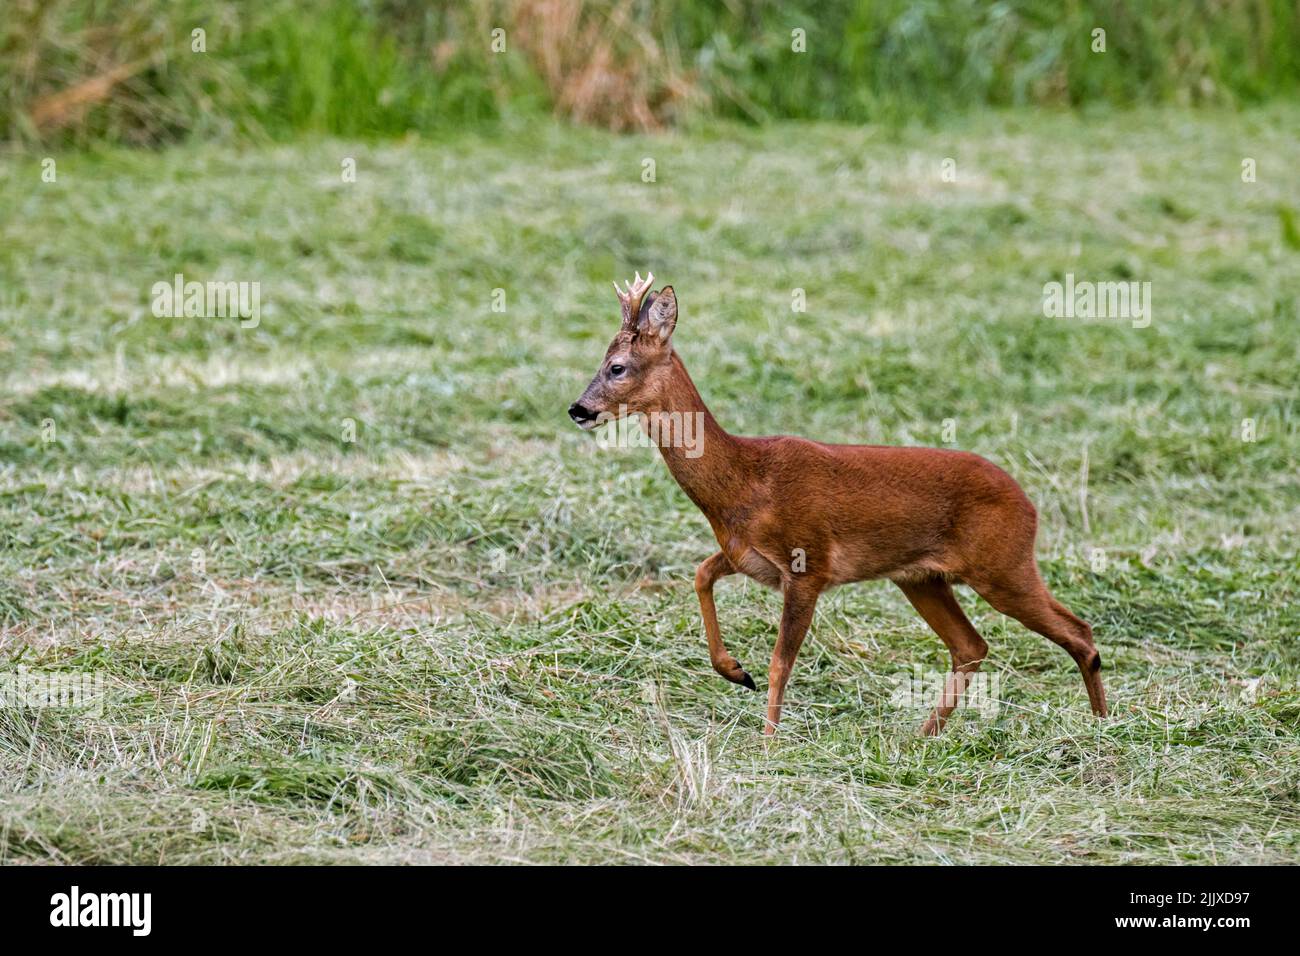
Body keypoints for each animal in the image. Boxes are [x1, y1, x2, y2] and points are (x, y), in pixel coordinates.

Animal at [568, 272, 1108, 736]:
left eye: (617, 367)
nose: (578, 409)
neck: (744, 482)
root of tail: (1029, 504)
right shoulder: (745, 555)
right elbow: (701, 574)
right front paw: (734, 671)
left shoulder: (808, 565)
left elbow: (780, 662)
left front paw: (769, 741)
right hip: (922, 578)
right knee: (971, 645)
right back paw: (923, 737)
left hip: (1003, 565)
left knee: (1079, 631)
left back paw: (1103, 726)